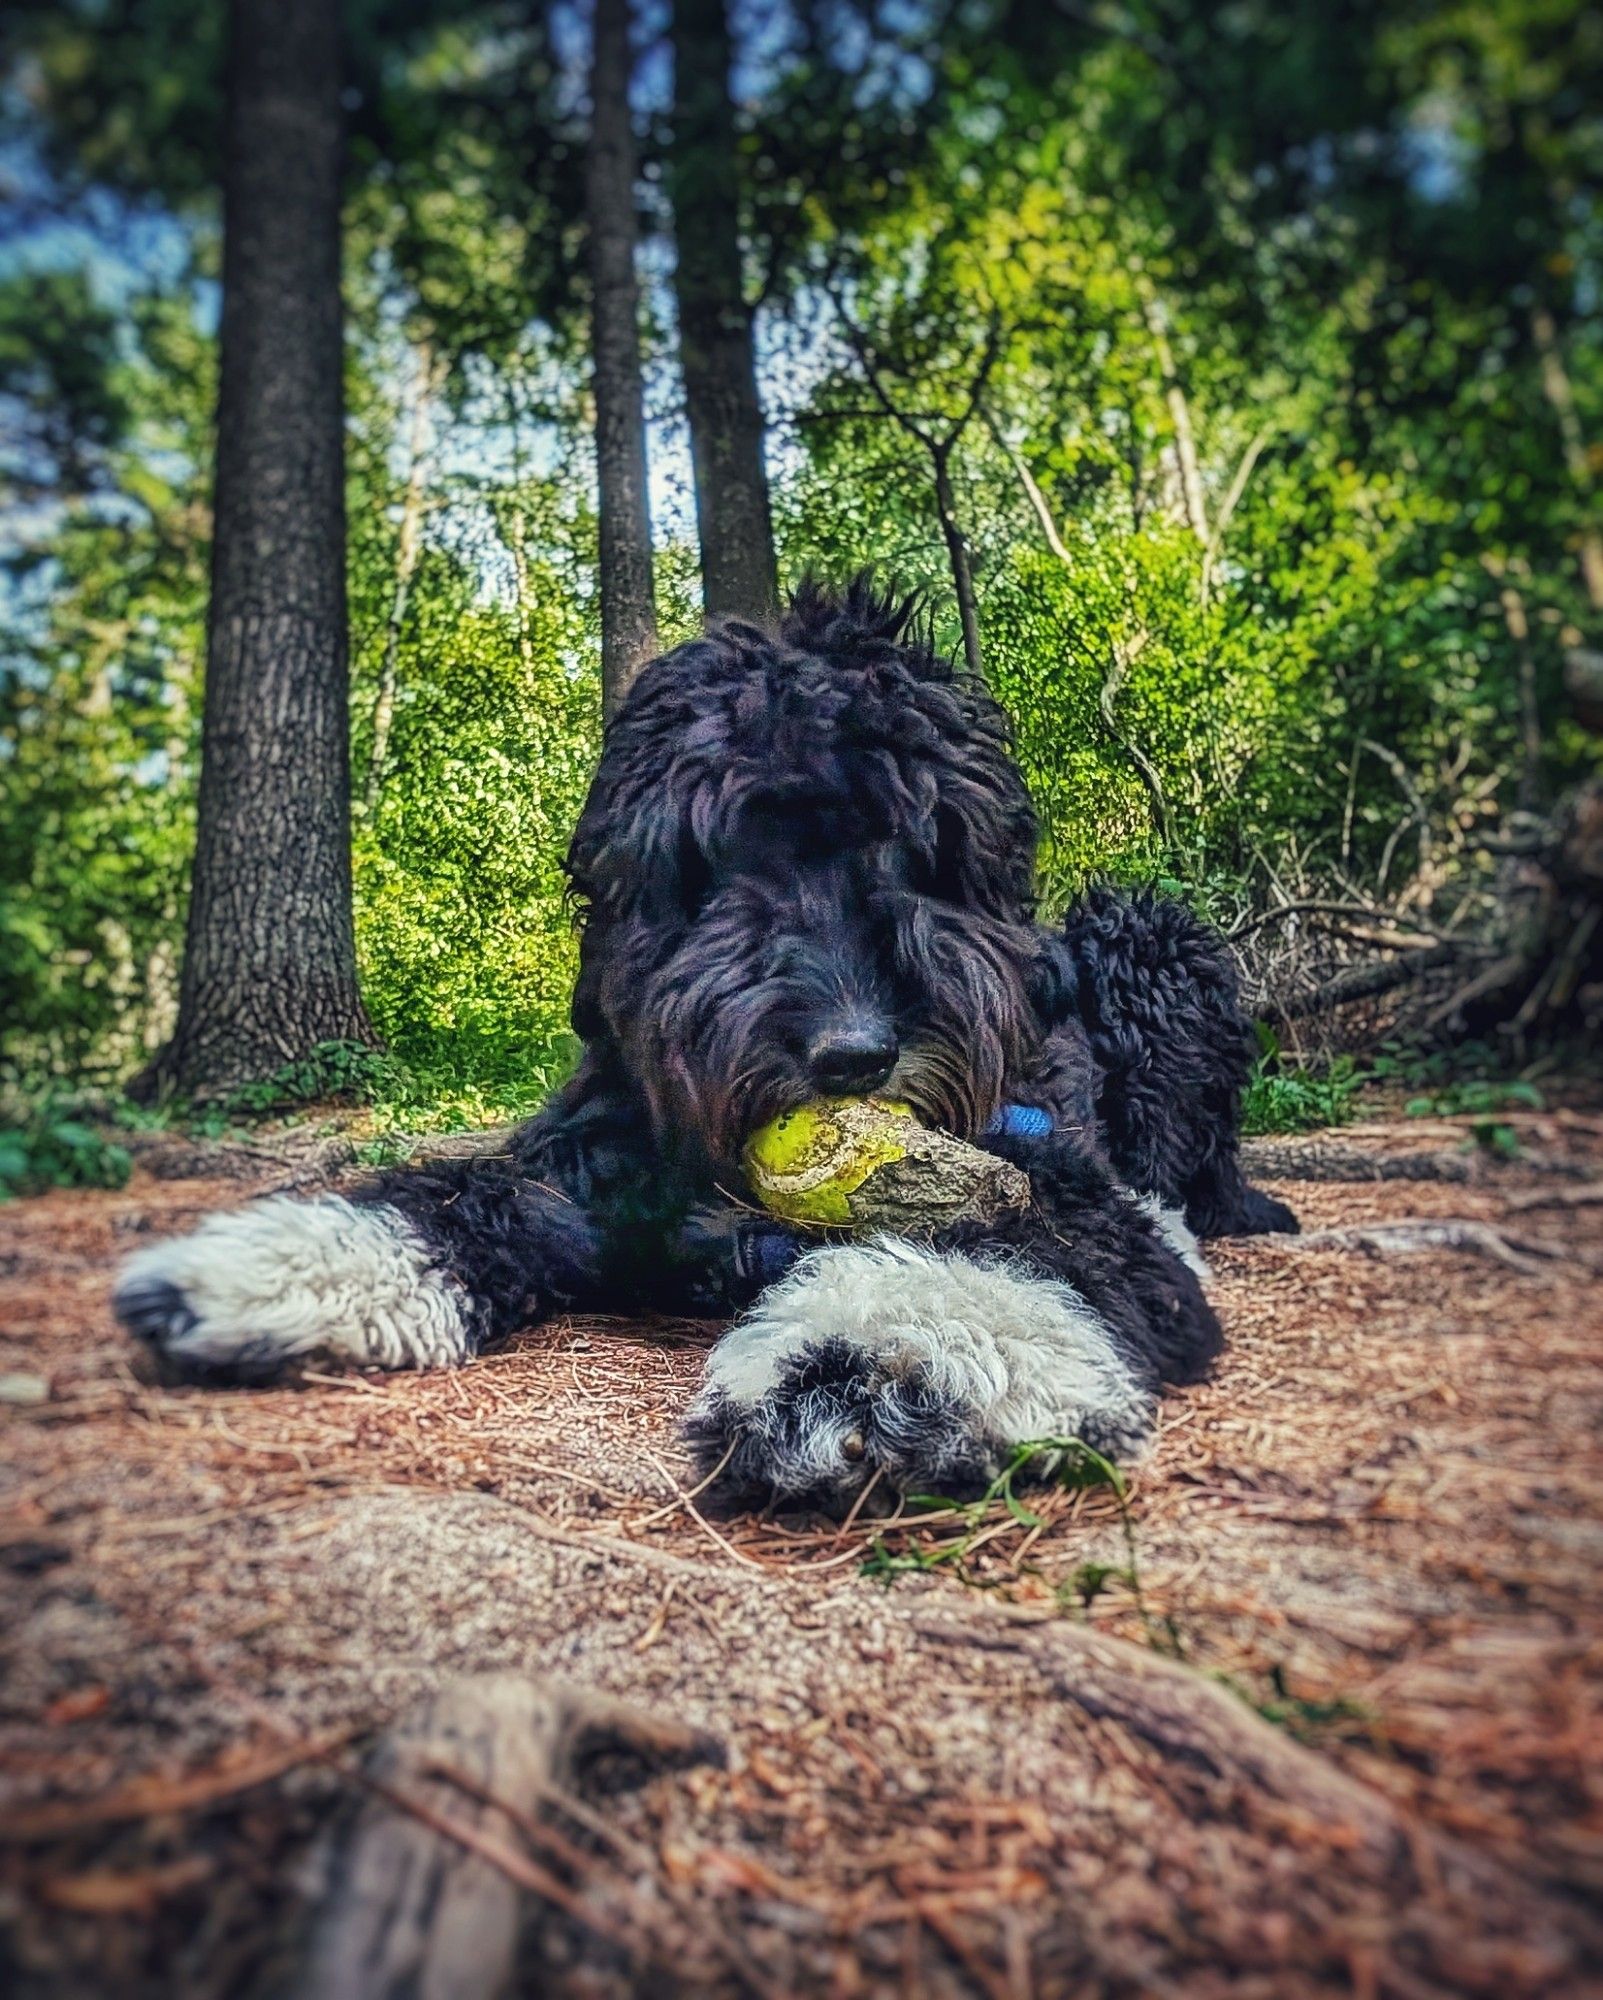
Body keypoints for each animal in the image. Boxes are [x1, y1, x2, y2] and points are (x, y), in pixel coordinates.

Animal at [115, 584, 1287, 1504]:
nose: (855, 1055)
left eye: (916, 845)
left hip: (1149, 934)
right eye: (721, 861)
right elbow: (470, 1195)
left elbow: (1021, 1238)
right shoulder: (591, 1164)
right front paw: (274, 1265)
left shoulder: (1065, 1184)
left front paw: (871, 1358)